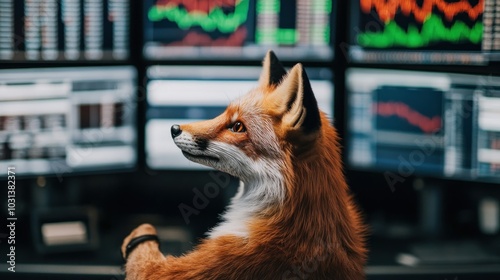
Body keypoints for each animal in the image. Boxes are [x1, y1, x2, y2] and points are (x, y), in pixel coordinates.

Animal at [122, 50, 368, 280]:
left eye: (238, 127)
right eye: (223, 114)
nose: (174, 129)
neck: (294, 213)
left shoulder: (183, 269)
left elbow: (144, 251)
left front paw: (140, 231)